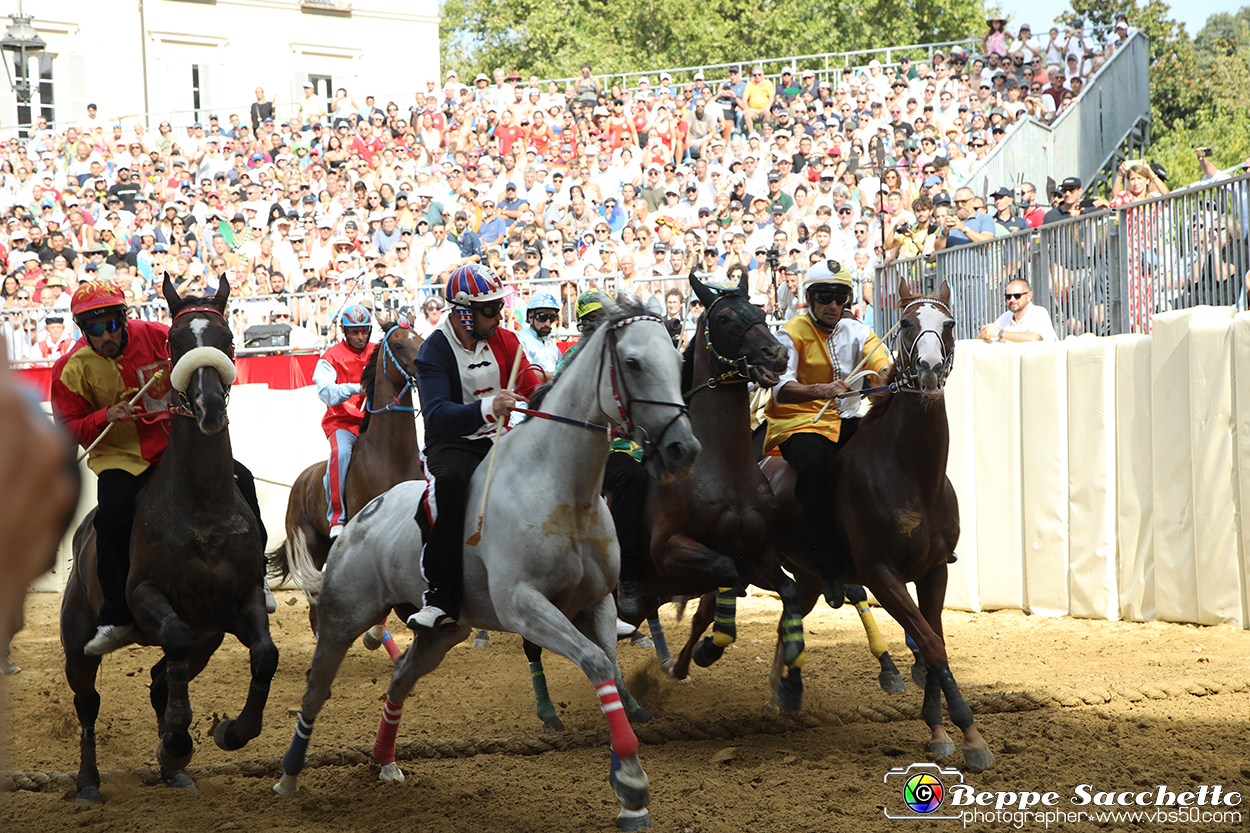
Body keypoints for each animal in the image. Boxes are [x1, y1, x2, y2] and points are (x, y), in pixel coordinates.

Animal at [60, 277, 278, 800]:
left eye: (227, 338)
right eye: (175, 343)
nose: (209, 407)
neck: (200, 510)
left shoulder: (239, 602)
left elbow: (266, 655)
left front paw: (230, 732)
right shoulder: (146, 596)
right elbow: (173, 634)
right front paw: (177, 741)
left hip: (208, 640)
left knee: (162, 679)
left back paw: (173, 769)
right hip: (76, 644)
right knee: (88, 704)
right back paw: (89, 782)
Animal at [268, 315, 425, 632]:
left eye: (420, 337)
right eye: (399, 344)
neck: (389, 456)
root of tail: (300, 482)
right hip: (312, 547)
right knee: (315, 607)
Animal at [760, 278, 995, 770]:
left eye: (948, 323)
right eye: (905, 323)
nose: (928, 369)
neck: (911, 474)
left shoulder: (934, 570)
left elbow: (934, 639)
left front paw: (940, 730)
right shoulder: (881, 575)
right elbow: (930, 643)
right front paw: (969, 734)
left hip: (808, 576)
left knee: (789, 617)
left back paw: (781, 695)